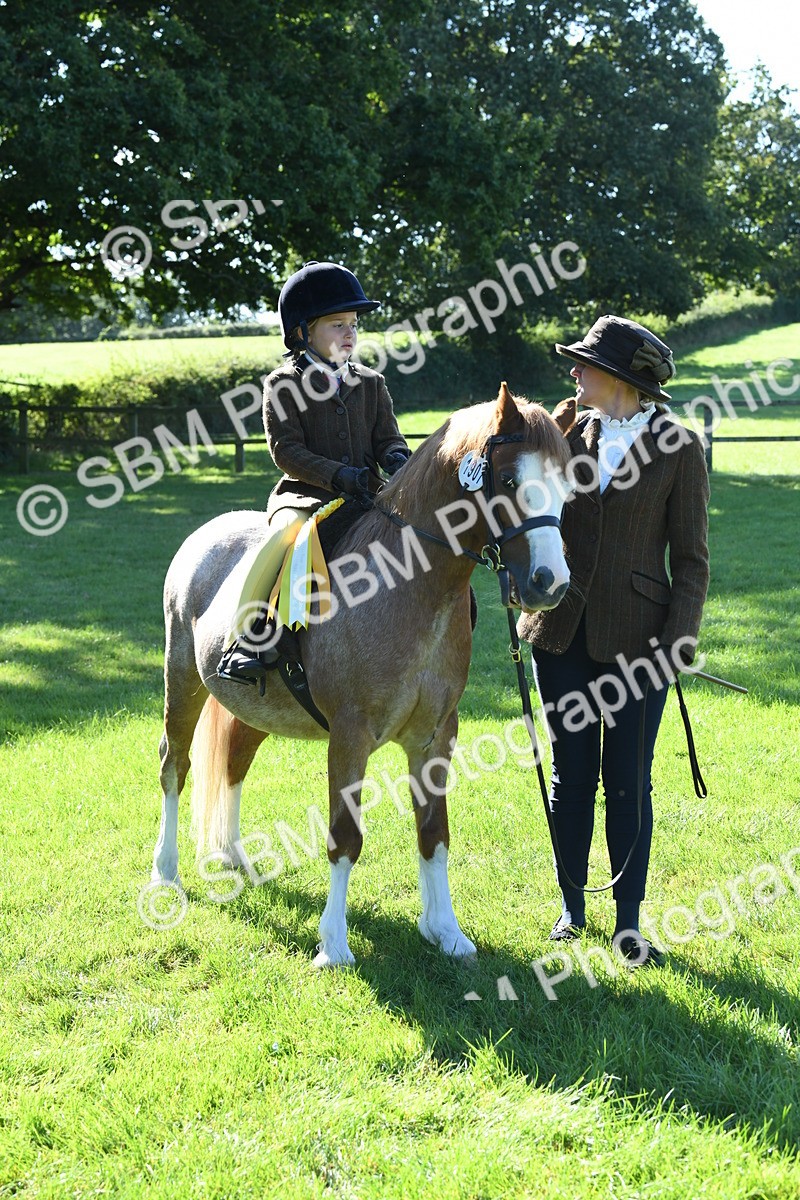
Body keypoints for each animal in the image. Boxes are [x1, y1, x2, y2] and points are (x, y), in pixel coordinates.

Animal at [151, 382, 572, 967]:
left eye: (567, 485)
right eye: (509, 481)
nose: (549, 583)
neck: (411, 587)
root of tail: (205, 535)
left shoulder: (435, 737)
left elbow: (434, 833)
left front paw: (445, 931)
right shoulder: (349, 736)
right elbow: (345, 837)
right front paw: (334, 945)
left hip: (254, 707)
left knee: (233, 764)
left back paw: (236, 860)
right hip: (182, 681)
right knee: (175, 765)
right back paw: (165, 875)